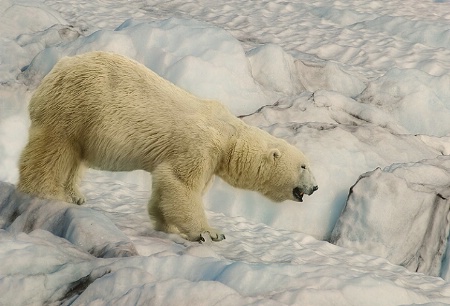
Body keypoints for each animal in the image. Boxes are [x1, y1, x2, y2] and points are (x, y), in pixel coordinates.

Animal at [18, 50, 320, 241]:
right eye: (303, 165)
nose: (316, 187)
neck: (228, 135)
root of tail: (57, 68)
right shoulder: (199, 146)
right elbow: (181, 183)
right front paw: (210, 232)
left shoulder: (209, 159)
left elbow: (166, 187)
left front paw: (167, 224)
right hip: (76, 107)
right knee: (53, 150)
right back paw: (48, 191)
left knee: (75, 157)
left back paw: (75, 194)